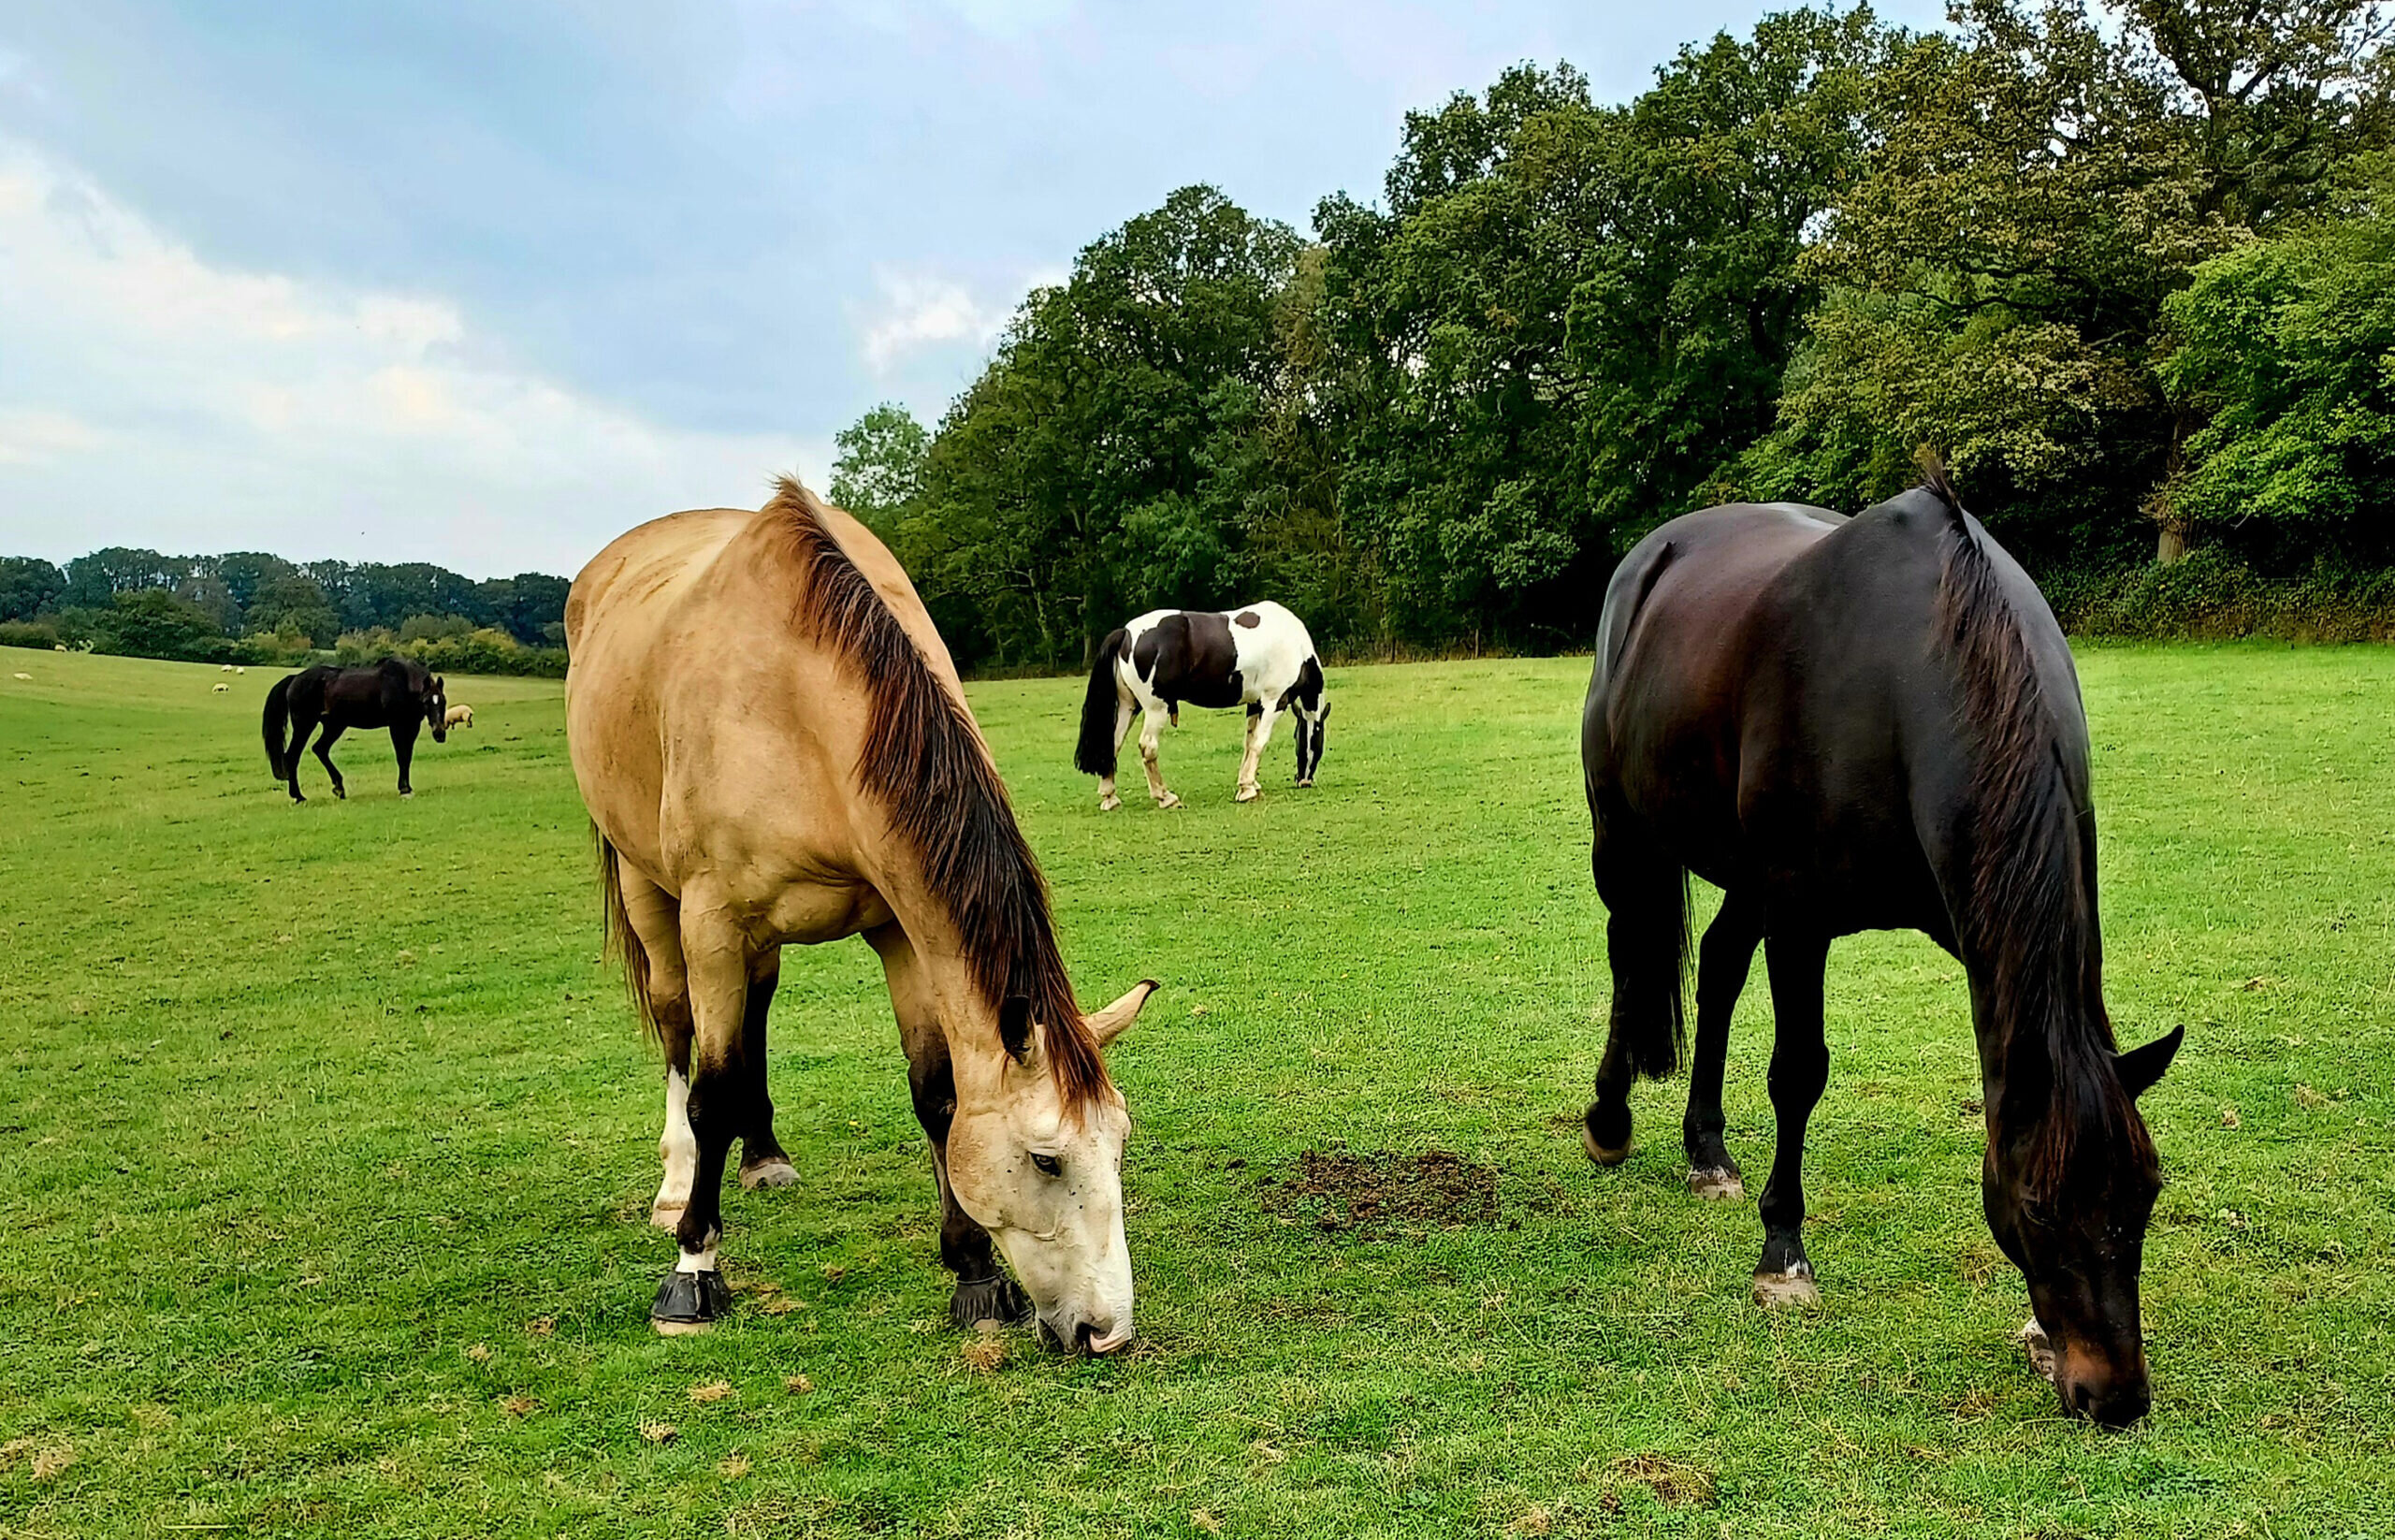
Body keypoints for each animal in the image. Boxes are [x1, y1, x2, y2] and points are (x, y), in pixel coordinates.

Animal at [262, 658, 447, 803]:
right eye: (426, 702)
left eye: (443, 702)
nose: (439, 733)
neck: (402, 682)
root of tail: (294, 679)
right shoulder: (396, 725)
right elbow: (401, 756)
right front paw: (404, 790)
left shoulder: (412, 726)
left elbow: (407, 757)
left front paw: (407, 788)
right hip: (305, 725)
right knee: (293, 756)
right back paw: (299, 796)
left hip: (335, 725)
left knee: (320, 749)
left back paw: (339, 788)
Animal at [566, 478, 1158, 1346]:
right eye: (1046, 1158)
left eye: (1118, 1141)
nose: (1105, 1330)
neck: (798, 704)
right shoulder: (711, 921)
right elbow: (714, 1090)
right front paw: (694, 1273)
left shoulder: (899, 928)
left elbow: (936, 1093)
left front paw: (976, 1275)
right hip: (651, 889)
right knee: (679, 1029)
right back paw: (677, 1188)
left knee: (756, 1013)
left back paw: (764, 1155)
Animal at [1075, 602, 1329, 809]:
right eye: (1316, 741)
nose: (1304, 780)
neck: (1294, 644)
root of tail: (1126, 634)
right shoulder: (1275, 701)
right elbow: (1259, 743)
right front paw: (1248, 789)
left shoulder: (1255, 704)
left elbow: (1249, 743)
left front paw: (1249, 785)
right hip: (1156, 709)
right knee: (1148, 747)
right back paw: (1165, 797)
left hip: (1129, 707)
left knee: (1113, 744)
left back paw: (1110, 798)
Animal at [1579, 469, 2181, 1428]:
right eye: (2039, 1206)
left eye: (2147, 1193)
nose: (2114, 1395)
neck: (1914, 677)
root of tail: (1652, 555)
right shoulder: (1800, 915)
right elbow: (1798, 1074)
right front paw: (1782, 1257)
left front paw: (2037, 1331)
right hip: (1626, 837)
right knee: (1631, 960)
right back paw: (1610, 1121)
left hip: (1740, 877)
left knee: (1716, 968)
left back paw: (1707, 1152)